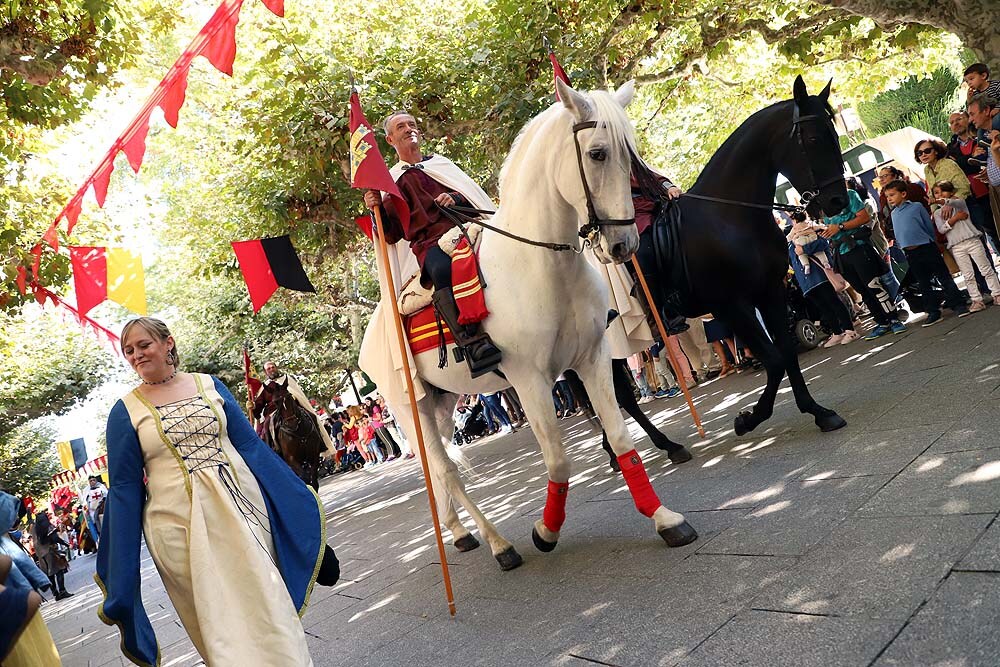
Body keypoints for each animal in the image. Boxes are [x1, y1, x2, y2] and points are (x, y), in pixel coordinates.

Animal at [364, 77, 700, 568]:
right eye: (597, 153)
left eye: (630, 153)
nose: (624, 244)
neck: (541, 263)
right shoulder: (531, 380)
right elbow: (558, 458)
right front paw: (546, 530)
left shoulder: (593, 358)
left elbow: (621, 436)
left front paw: (665, 518)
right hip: (411, 408)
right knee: (445, 471)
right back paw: (498, 543)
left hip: (441, 403)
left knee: (442, 470)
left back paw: (460, 533)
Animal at [648, 77, 852, 438]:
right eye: (814, 138)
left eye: (834, 132)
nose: (838, 201)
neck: (729, 216)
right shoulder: (730, 306)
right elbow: (774, 360)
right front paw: (749, 418)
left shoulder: (768, 293)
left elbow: (786, 353)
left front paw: (817, 411)